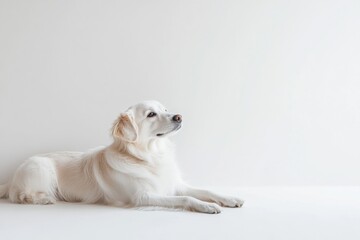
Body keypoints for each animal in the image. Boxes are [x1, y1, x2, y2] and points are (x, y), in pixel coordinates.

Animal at [0, 100, 245, 213]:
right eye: (151, 114)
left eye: (165, 109)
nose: (179, 116)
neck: (150, 157)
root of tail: (11, 178)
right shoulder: (142, 197)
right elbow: (186, 199)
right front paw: (208, 207)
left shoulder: (174, 185)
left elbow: (206, 191)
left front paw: (230, 198)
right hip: (40, 167)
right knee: (21, 196)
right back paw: (44, 199)